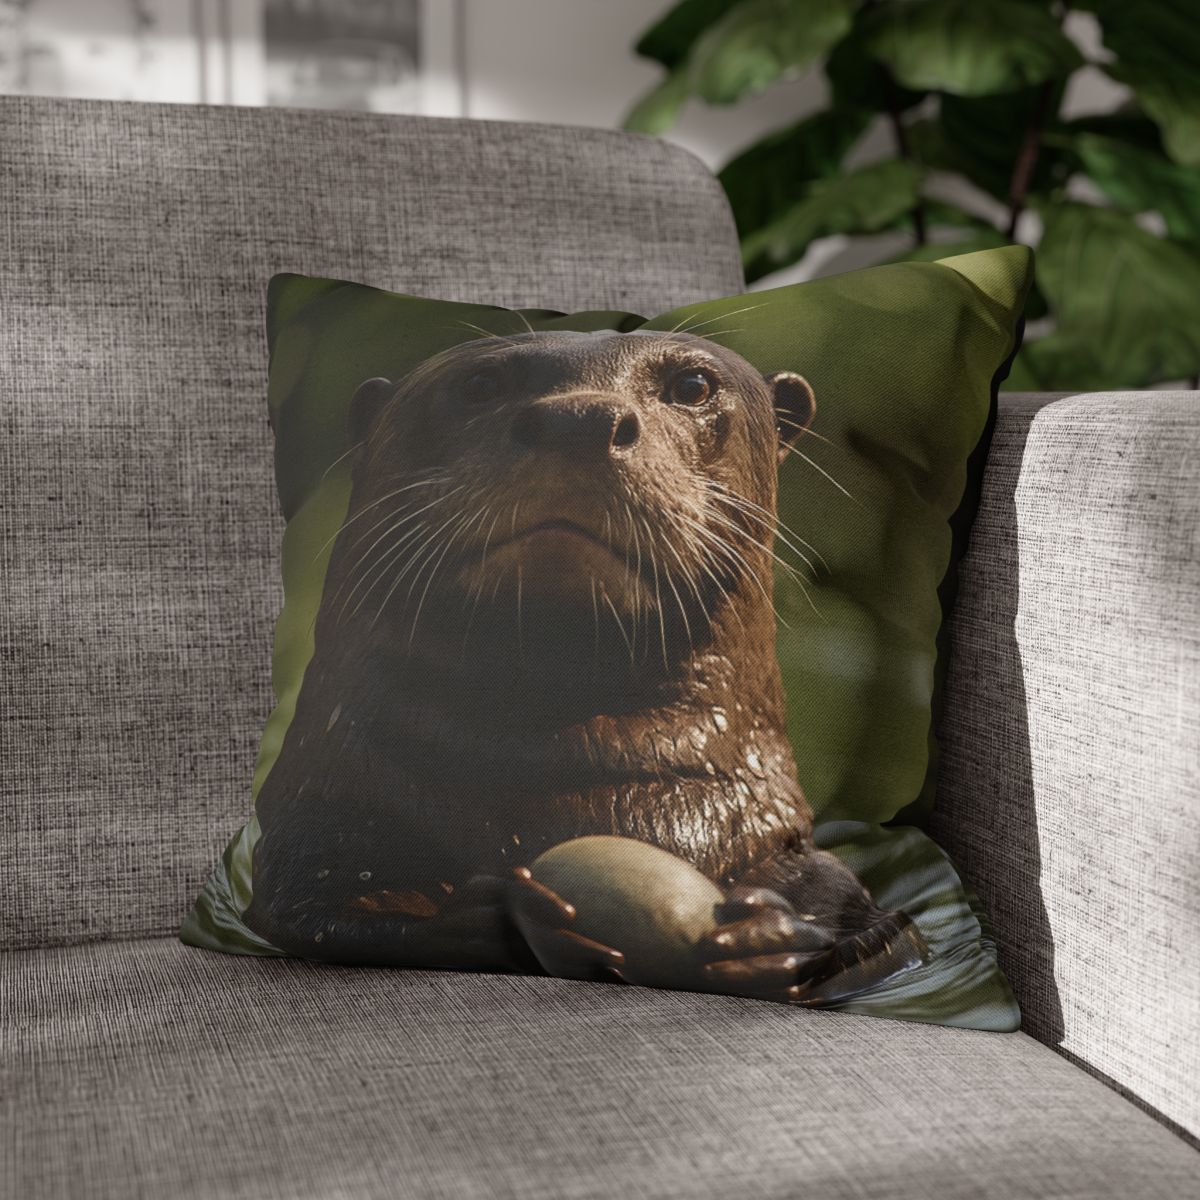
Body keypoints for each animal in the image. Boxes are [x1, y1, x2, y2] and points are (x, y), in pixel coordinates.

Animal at [245, 329, 926, 1004]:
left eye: (692, 385)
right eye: (481, 384)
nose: (580, 419)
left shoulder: (797, 857)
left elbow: (875, 933)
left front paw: (768, 936)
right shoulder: (318, 825)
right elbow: (320, 912)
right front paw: (495, 916)